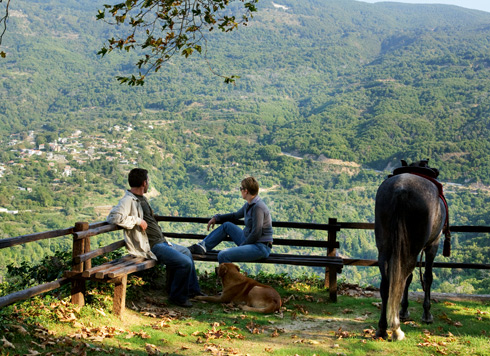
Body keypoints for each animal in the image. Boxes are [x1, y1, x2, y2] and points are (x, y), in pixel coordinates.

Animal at [376, 160, 448, 340]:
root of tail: (400, 191)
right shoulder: (433, 245)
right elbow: (428, 278)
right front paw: (427, 314)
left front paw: (404, 311)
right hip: (413, 248)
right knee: (402, 277)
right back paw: (396, 330)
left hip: (384, 248)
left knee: (386, 284)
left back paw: (382, 328)